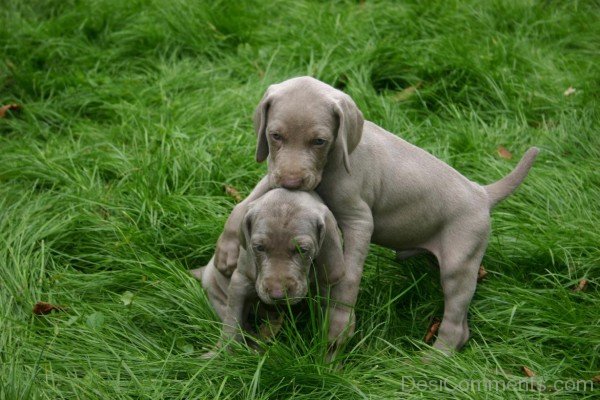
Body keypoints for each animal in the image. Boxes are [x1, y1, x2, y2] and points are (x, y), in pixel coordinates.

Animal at [190, 188, 344, 354]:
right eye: (259, 247)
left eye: (302, 250)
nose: (277, 295)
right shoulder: (240, 281)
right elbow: (232, 322)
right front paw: (222, 353)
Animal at [213, 77, 536, 356]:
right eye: (275, 136)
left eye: (319, 141)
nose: (292, 182)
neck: (335, 160)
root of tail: (482, 193)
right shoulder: (275, 176)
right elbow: (246, 202)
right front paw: (227, 248)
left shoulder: (359, 221)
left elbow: (348, 275)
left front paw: (339, 323)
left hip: (460, 263)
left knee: (456, 322)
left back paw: (433, 361)